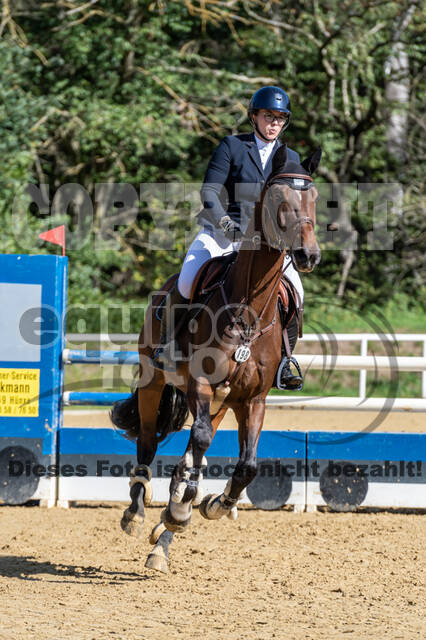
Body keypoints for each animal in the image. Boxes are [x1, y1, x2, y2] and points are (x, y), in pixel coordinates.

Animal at [111, 145, 322, 576]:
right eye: (279, 200)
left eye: (314, 198)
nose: (308, 255)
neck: (249, 311)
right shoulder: (201, 384)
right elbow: (201, 443)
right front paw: (181, 510)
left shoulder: (252, 399)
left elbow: (248, 465)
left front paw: (213, 505)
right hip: (155, 380)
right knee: (148, 443)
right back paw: (139, 512)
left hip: (223, 401)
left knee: (191, 454)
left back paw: (165, 538)